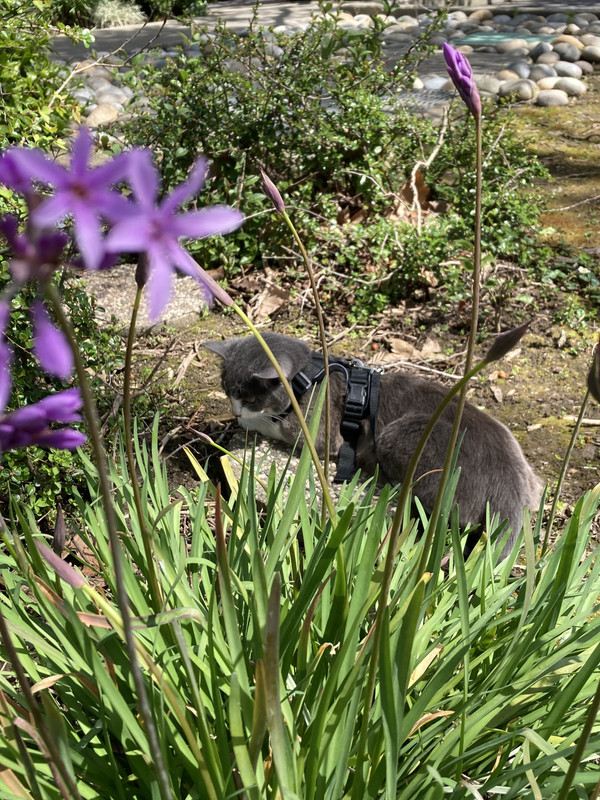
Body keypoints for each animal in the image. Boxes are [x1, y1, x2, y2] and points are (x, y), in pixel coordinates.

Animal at [204, 332, 540, 556]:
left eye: (248, 397)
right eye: (226, 390)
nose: (235, 410)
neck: (308, 376)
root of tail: (510, 492)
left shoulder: (316, 431)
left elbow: (272, 423)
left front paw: (243, 422)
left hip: (402, 435)